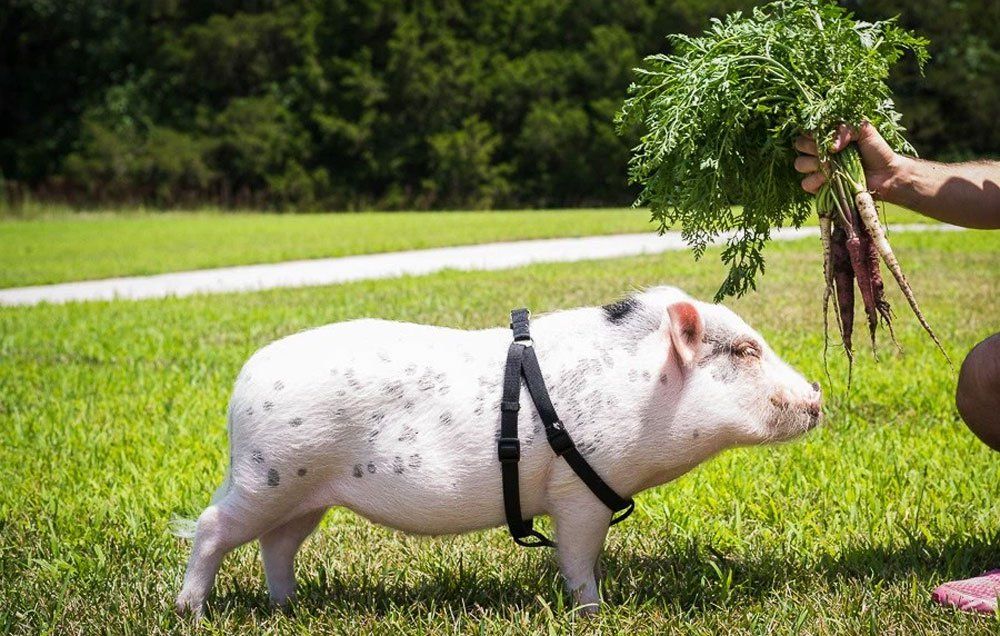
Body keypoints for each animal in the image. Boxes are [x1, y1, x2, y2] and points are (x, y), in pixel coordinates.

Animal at [174, 284, 820, 616]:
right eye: (745, 351)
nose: (817, 393)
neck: (645, 397)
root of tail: (244, 382)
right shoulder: (578, 493)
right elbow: (577, 560)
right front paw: (595, 612)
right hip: (269, 475)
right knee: (210, 527)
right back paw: (191, 613)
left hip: (303, 493)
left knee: (276, 545)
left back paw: (290, 608)